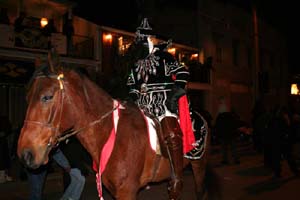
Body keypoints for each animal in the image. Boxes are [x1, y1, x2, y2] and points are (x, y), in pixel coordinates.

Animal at [17, 52, 220, 200]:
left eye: (47, 97)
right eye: (26, 98)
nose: (26, 154)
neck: (111, 133)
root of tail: (202, 116)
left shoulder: (127, 191)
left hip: (198, 164)